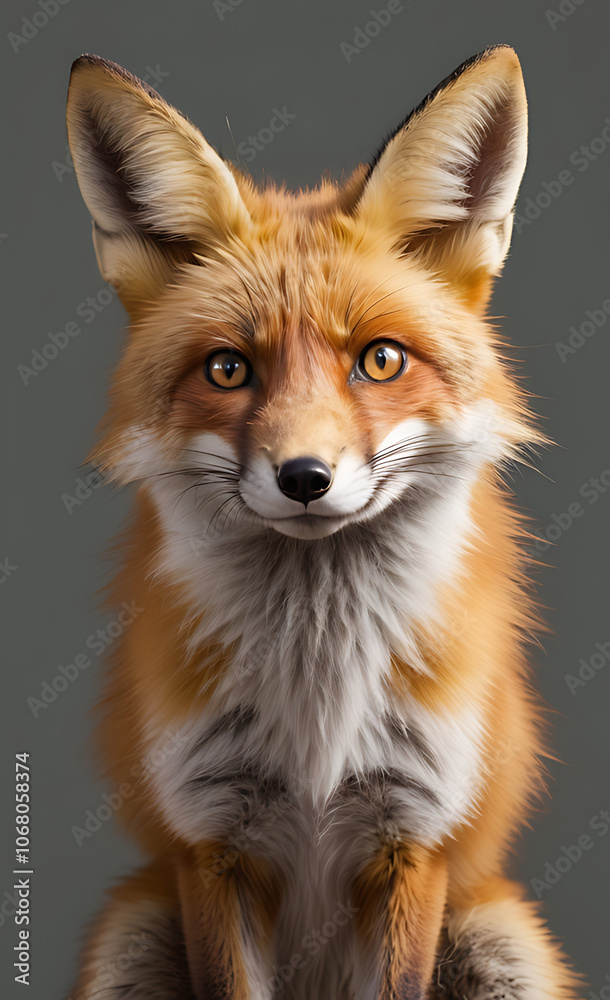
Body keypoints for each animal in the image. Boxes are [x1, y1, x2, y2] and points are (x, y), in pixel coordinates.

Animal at [65, 46, 581, 1000]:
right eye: (228, 369)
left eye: (379, 360)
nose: (305, 478)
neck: (320, 707)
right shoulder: (210, 840)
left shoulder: (413, 836)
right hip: (133, 930)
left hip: (502, 937)